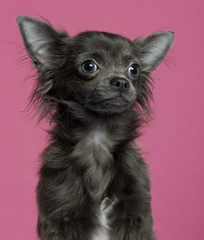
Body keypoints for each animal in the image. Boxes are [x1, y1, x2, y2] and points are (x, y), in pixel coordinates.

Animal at [17, 15, 174, 239]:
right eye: (89, 66)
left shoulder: (137, 215)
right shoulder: (61, 214)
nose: (122, 82)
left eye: (134, 69)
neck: (97, 141)